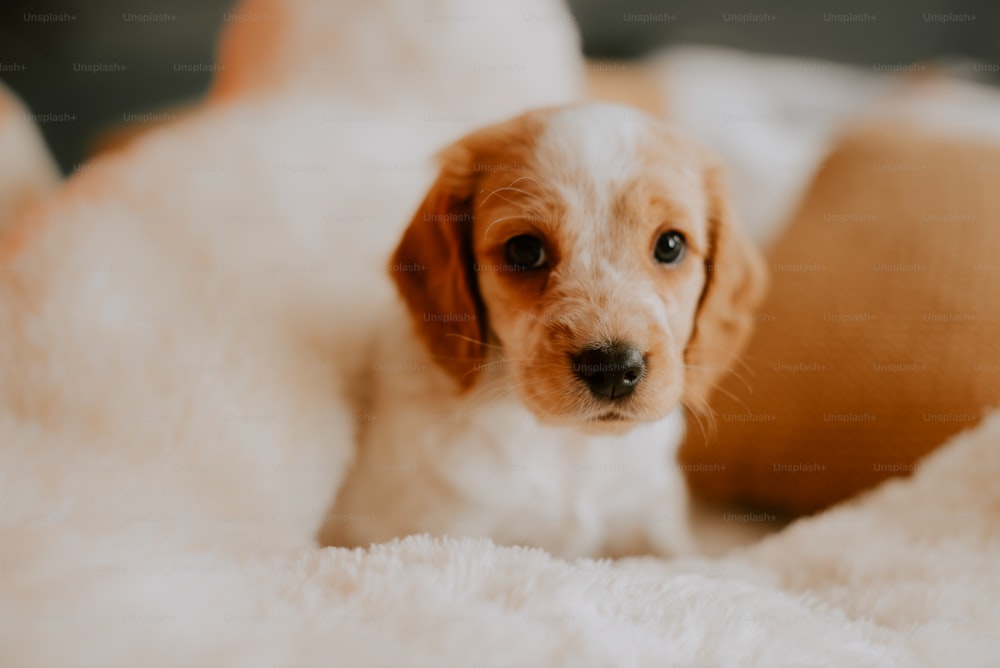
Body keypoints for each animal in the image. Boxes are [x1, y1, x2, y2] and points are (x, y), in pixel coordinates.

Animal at [324, 104, 760, 560]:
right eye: (524, 250)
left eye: (670, 245)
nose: (611, 369)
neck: (569, 446)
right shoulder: (444, 529)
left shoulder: (651, 517)